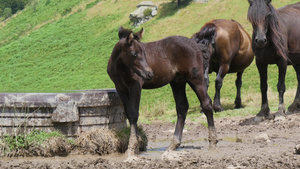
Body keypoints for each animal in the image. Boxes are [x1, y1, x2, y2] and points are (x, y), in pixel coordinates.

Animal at [108, 26, 218, 158]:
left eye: (144, 52)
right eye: (134, 54)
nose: (149, 74)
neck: (121, 69)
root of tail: (196, 45)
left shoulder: (136, 86)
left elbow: (134, 113)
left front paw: (132, 147)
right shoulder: (120, 88)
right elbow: (129, 114)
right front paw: (137, 144)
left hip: (195, 78)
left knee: (206, 104)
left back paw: (212, 142)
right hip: (177, 82)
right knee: (182, 107)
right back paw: (173, 145)